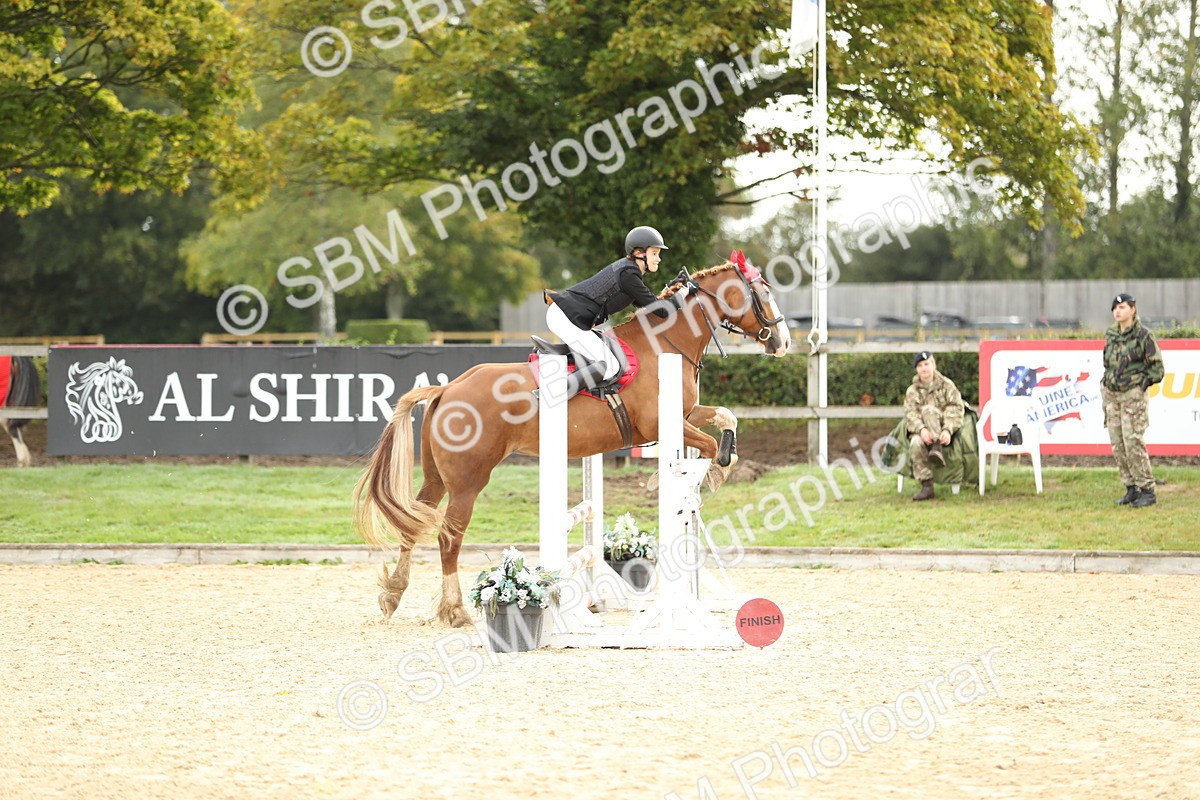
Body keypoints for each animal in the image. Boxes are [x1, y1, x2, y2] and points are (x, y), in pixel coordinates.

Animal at [354, 257, 791, 626]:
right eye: (762, 293)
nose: (783, 342)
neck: (667, 344)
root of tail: (447, 389)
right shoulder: (660, 425)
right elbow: (706, 447)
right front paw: (705, 474)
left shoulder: (683, 416)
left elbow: (726, 417)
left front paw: (713, 468)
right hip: (467, 481)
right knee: (448, 538)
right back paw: (455, 610)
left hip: (436, 477)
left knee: (413, 524)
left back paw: (393, 595)